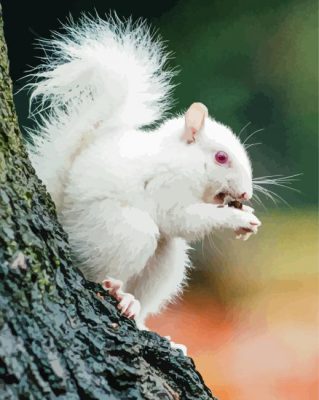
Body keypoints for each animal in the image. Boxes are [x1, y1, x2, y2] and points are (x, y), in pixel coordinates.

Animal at [28, 14, 262, 348]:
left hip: (166, 260)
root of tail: (63, 215)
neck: (183, 161)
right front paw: (236, 219)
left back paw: (139, 314)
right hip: (119, 231)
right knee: (97, 270)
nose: (245, 194)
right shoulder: (165, 187)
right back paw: (115, 290)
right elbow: (180, 219)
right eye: (221, 157)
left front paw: (247, 219)